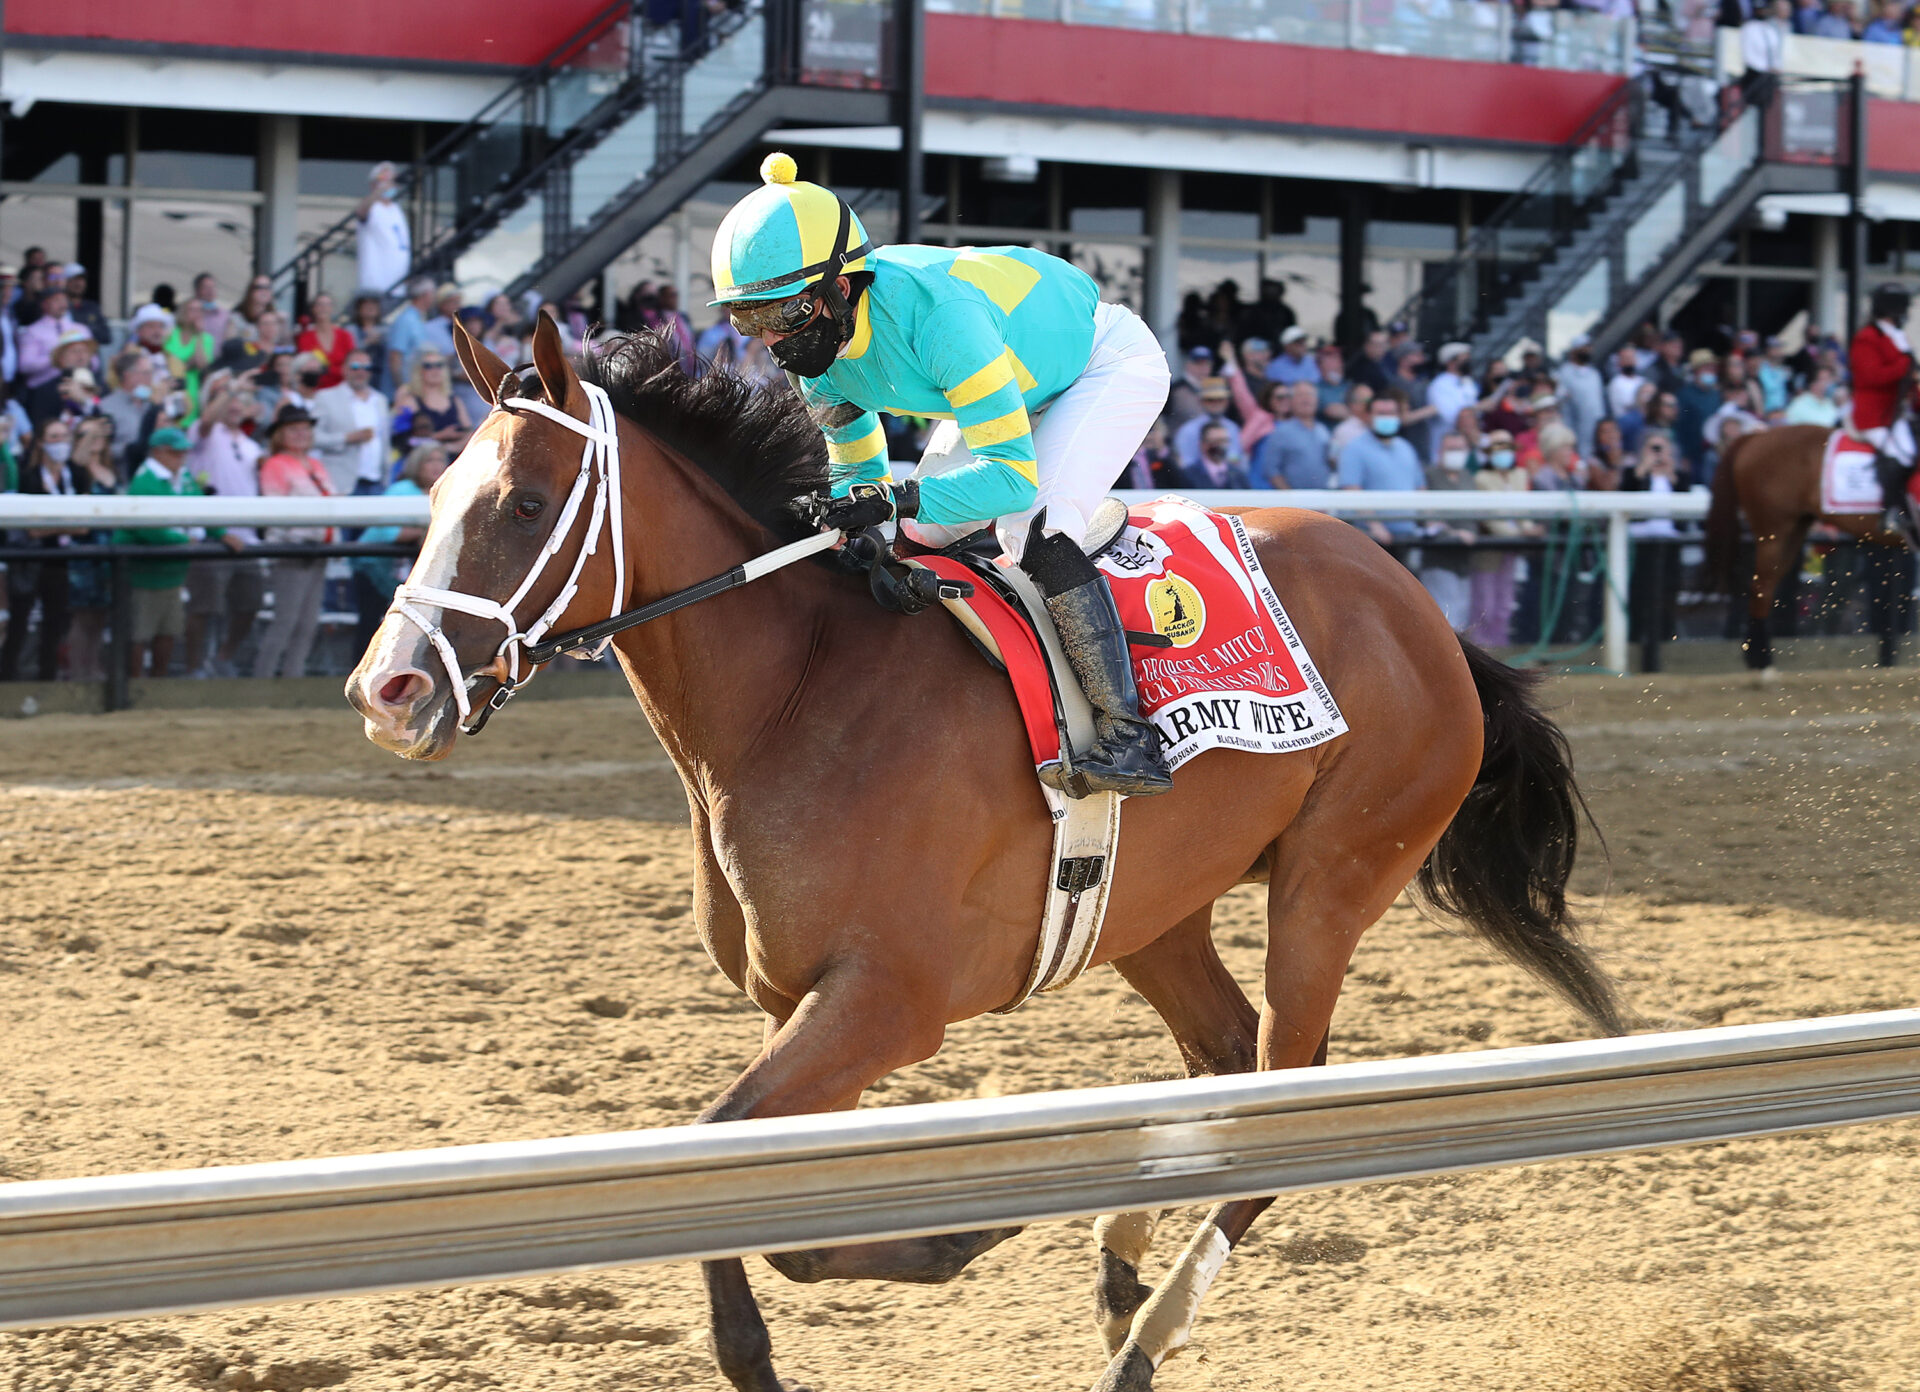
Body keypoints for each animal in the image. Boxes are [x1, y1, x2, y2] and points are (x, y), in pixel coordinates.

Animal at [345, 316, 1620, 1390]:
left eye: (522, 505)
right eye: (434, 492)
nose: (385, 690)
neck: (798, 690)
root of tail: (1421, 608)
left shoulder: (888, 1001)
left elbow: (713, 1154)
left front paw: (941, 1244)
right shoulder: (804, 1005)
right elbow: (775, 1207)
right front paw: (952, 1234)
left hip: (1332, 880)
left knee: (1280, 1092)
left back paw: (1145, 1340)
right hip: (1153, 909)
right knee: (1221, 1057)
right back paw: (1121, 1258)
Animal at [1704, 426, 1912, 672]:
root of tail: (1755, 436)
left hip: (1793, 531)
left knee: (1767, 585)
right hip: (1773, 530)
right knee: (1761, 587)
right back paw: (1761, 660)